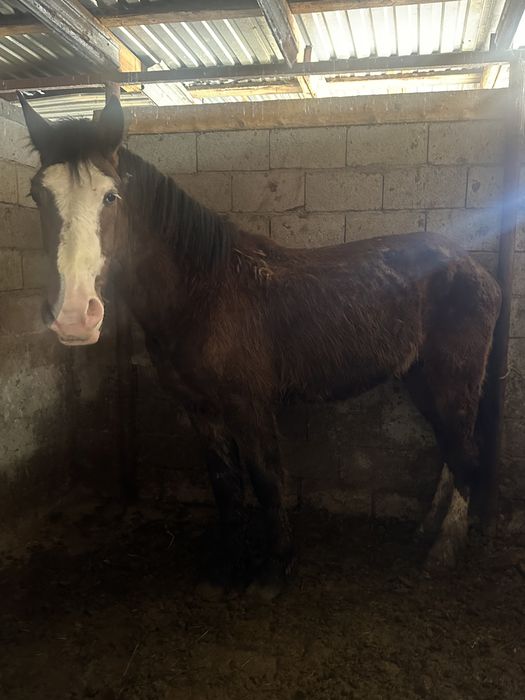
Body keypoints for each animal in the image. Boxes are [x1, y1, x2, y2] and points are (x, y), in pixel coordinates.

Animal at [18, 94, 501, 597]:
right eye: (37, 194)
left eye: (110, 196)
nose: (74, 315)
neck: (204, 292)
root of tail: (474, 268)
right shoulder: (201, 409)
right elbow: (225, 485)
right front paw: (225, 567)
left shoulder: (249, 406)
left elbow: (266, 479)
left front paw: (273, 570)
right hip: (421, 380)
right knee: (450, 453)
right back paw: (426, 531)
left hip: (452, 381)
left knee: (464, 454)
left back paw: (443, 551)